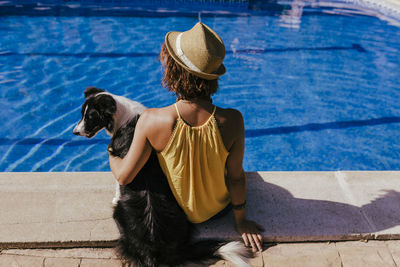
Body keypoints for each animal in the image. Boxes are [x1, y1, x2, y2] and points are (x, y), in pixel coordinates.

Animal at [72, 88, 250, 267]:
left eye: (90, 117)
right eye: (82, 114)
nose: (74, 132)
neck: (123, 117)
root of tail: (157, 250)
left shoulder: (120, 165)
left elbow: (118, 183)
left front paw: (115, 198)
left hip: (118, 216)